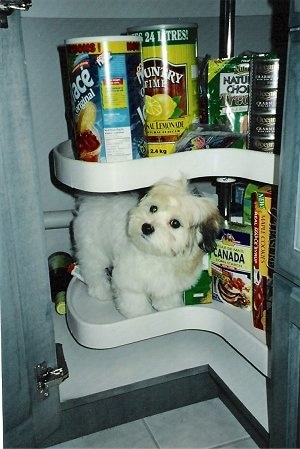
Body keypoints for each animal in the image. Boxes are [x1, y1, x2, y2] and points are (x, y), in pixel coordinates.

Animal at [72, 177, 223, 316]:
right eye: (153, 208)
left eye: (175, 223)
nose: (147, 227)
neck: (158, 255)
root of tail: (90, 200)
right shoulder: (130, 278)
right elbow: (133, 297)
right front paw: (138, 314)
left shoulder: (169, 282)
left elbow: (167, 294)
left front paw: (168, 307)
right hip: (93, 247)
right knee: (93, 270)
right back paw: (101, 291)